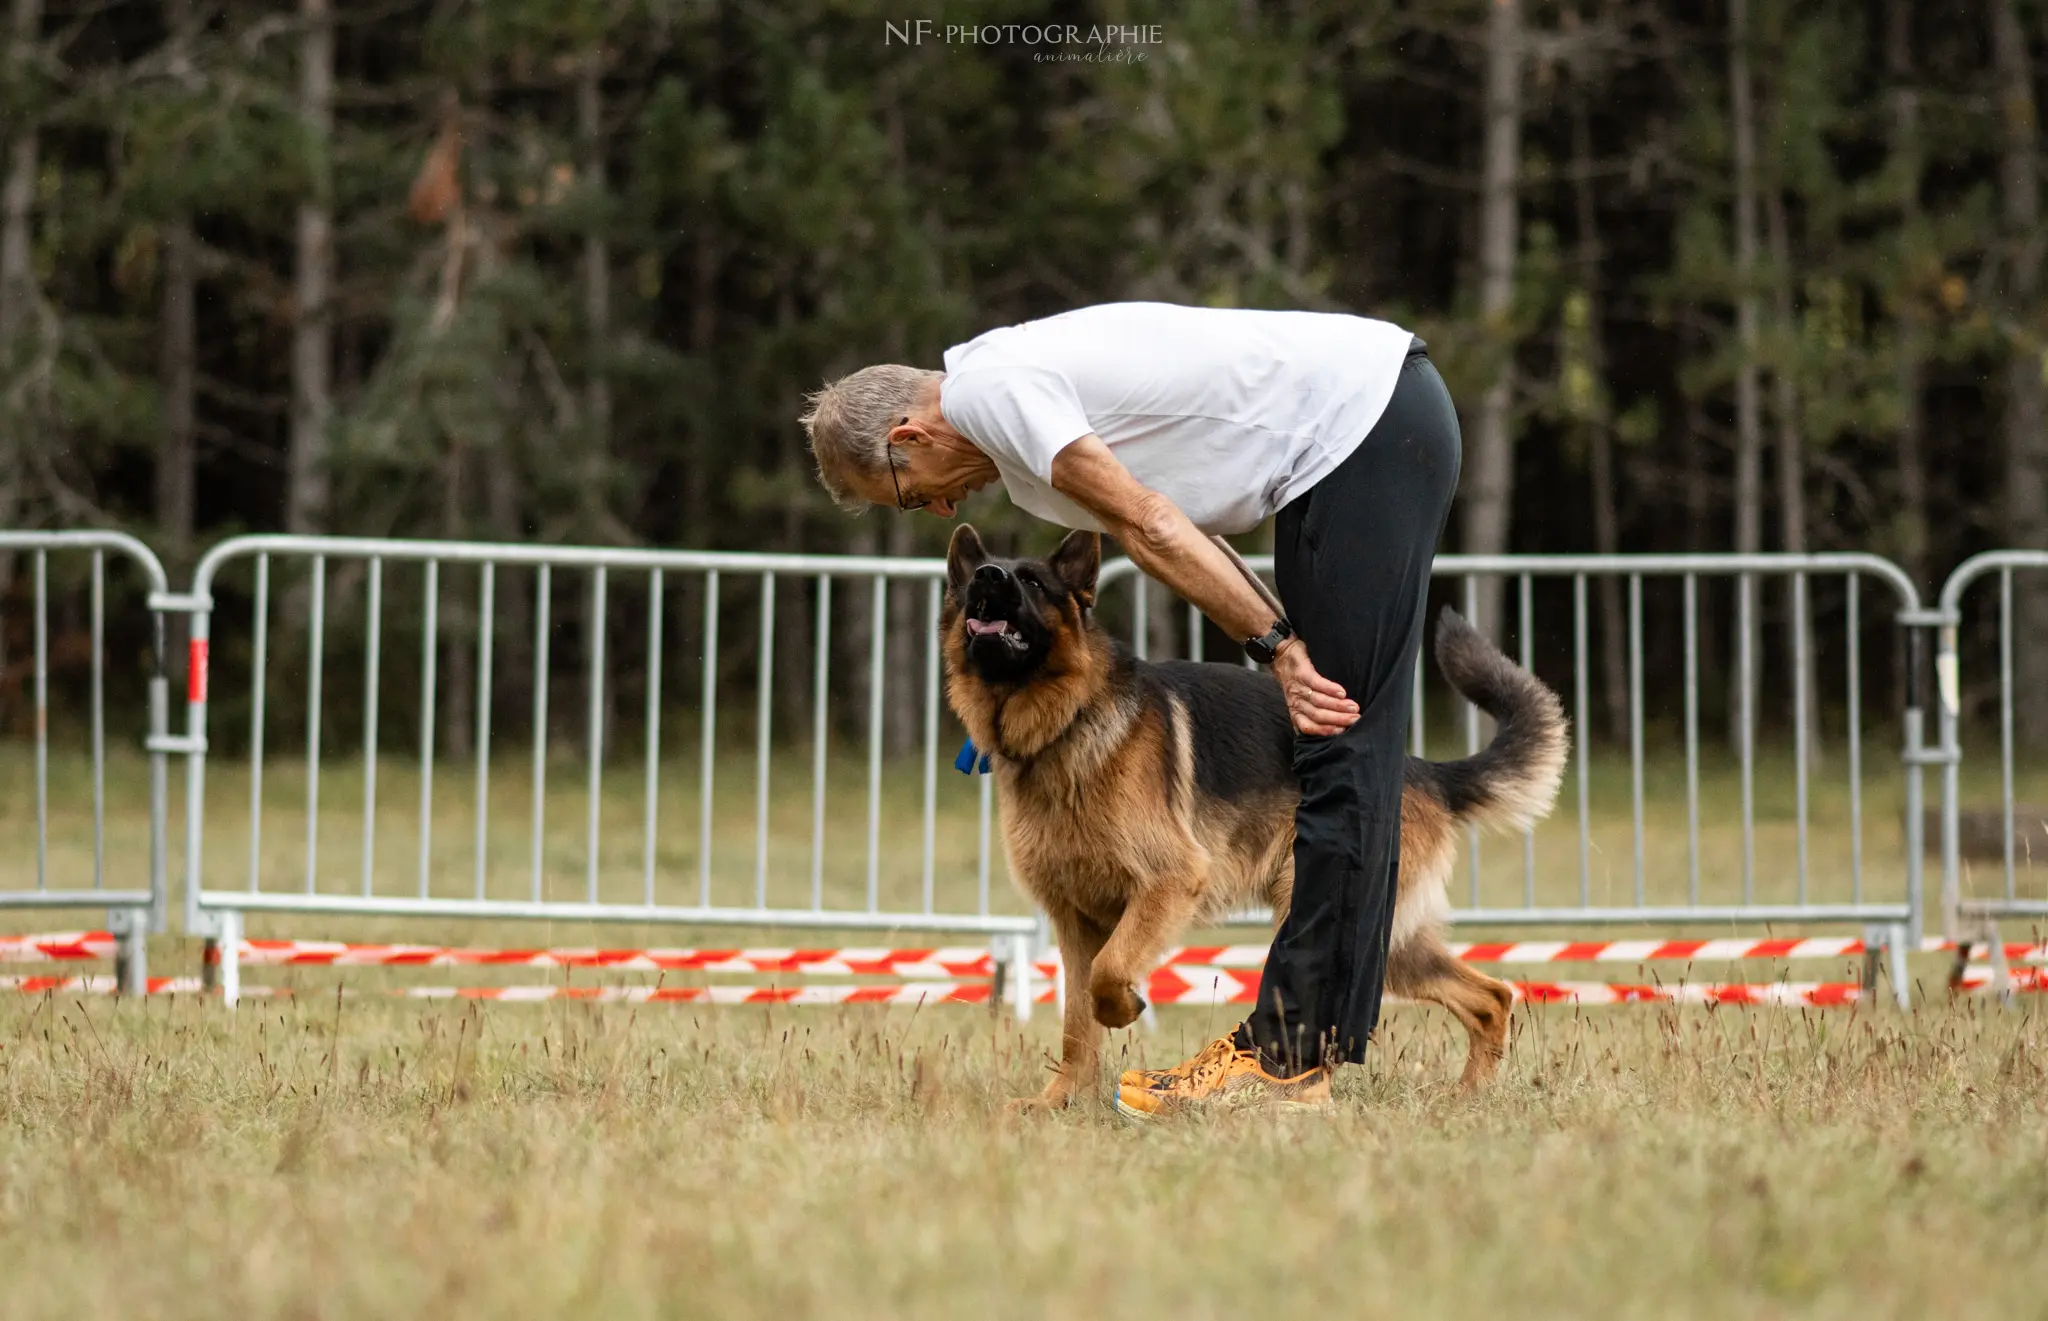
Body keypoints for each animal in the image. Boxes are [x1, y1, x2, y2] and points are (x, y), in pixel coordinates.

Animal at [942, 520, 1564, 1105]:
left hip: (1318, 907)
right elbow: (1076, 1019)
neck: (1066, 724)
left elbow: (1109, 972)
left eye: (1031, 583)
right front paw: (1061, 1099)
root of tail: (1421, 770)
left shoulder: (1166, 884)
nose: (987, 578)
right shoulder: (1074, 921)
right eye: (980, 581)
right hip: (1396, 944)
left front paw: (1123, 1010)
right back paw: (1468, 1096)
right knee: (1491, 997)